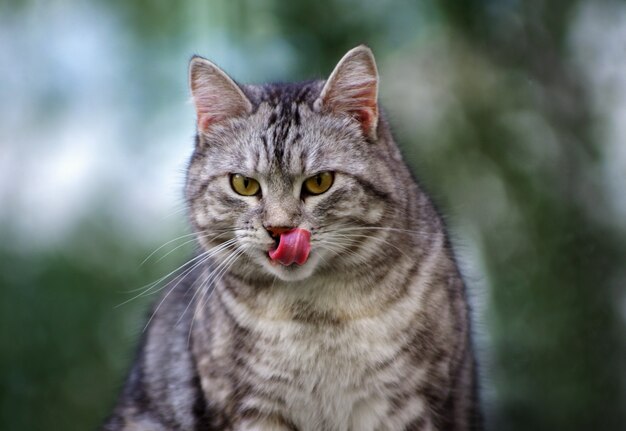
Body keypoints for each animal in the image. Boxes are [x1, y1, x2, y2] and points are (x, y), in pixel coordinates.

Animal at [105, 45, 480, 430]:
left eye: (319, 182)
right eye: (244, 184)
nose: (280, 229)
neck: (315, 319)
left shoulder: (410, 405)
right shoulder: (251, 410)